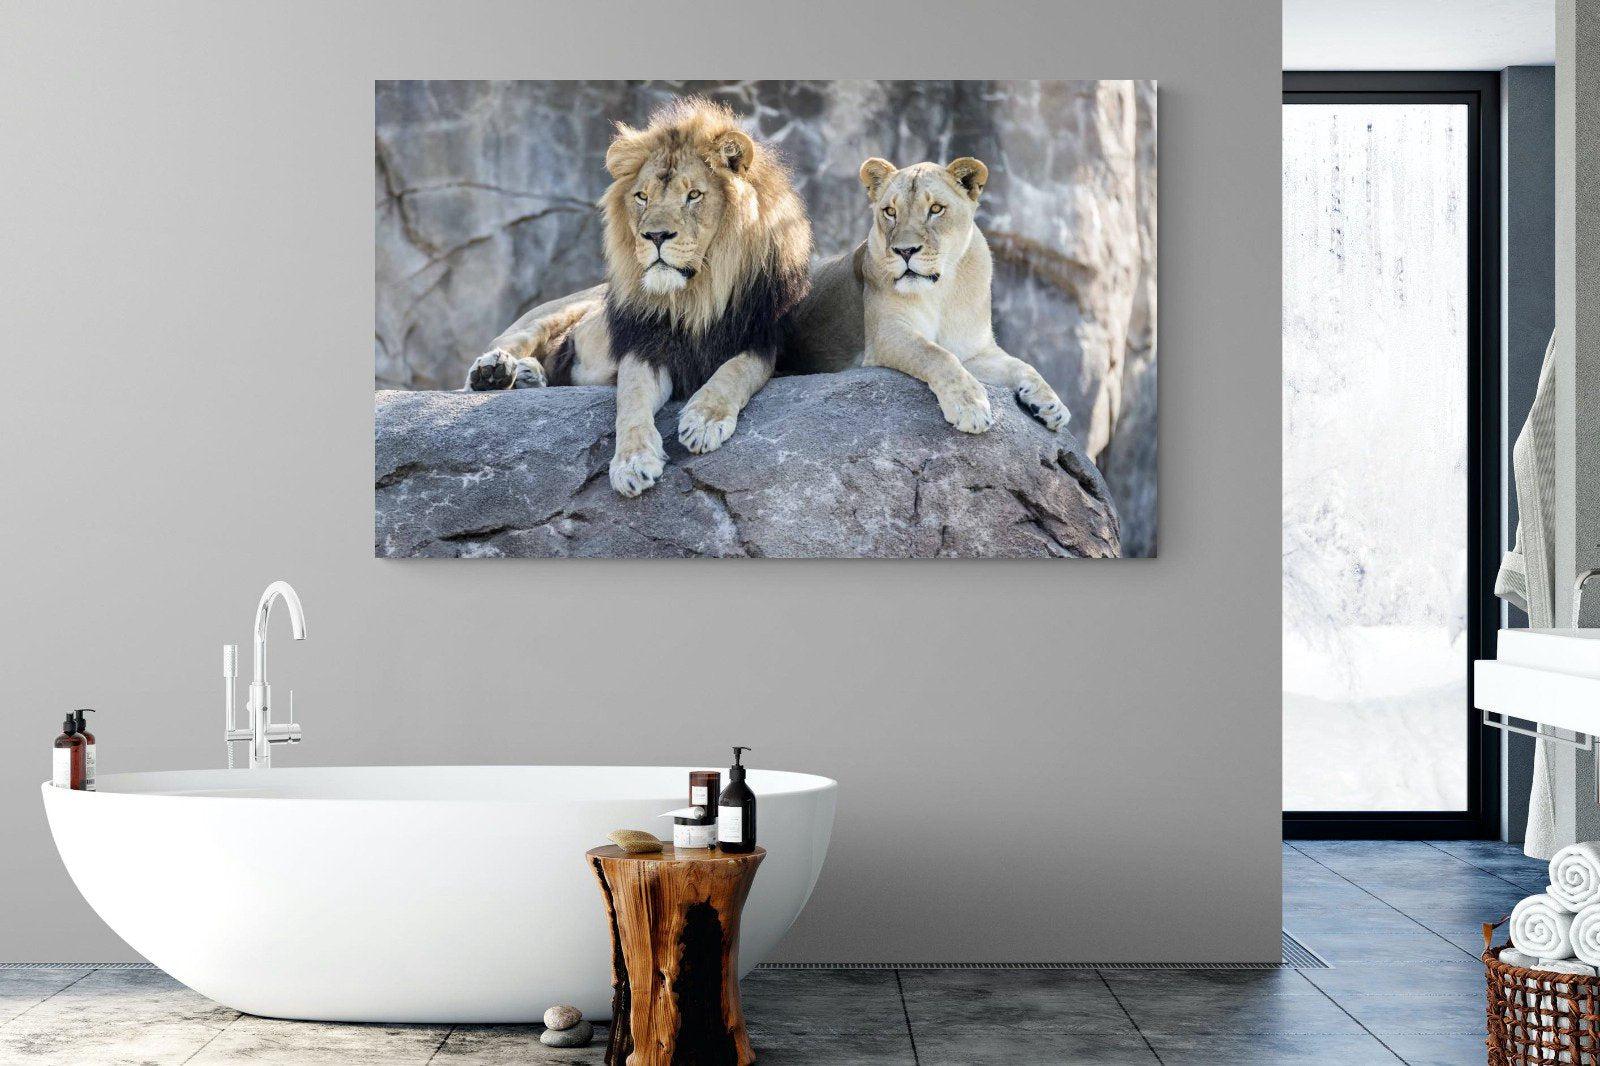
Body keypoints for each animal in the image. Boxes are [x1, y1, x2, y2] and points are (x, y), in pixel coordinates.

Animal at [466, 97, 811, 497]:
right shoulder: (644, 346)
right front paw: (631, 463)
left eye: (693, 195)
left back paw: (527, 375)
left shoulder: (763, 340)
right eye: (642, 197)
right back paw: (494, 372)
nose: (655, 236)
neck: (695, 296)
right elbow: (630, 400)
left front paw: (704, 420)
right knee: (507, 344)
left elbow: (735, 371)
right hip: (552, 313)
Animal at [781, 156, 1071, 436]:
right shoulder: (886, 334)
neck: (942, 291)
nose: (905, 251)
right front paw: (970, 406)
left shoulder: (974, 351)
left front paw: (1052, 404)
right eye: (890, 212)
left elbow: (1022, 365)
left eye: (936, 209)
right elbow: (936, 354)